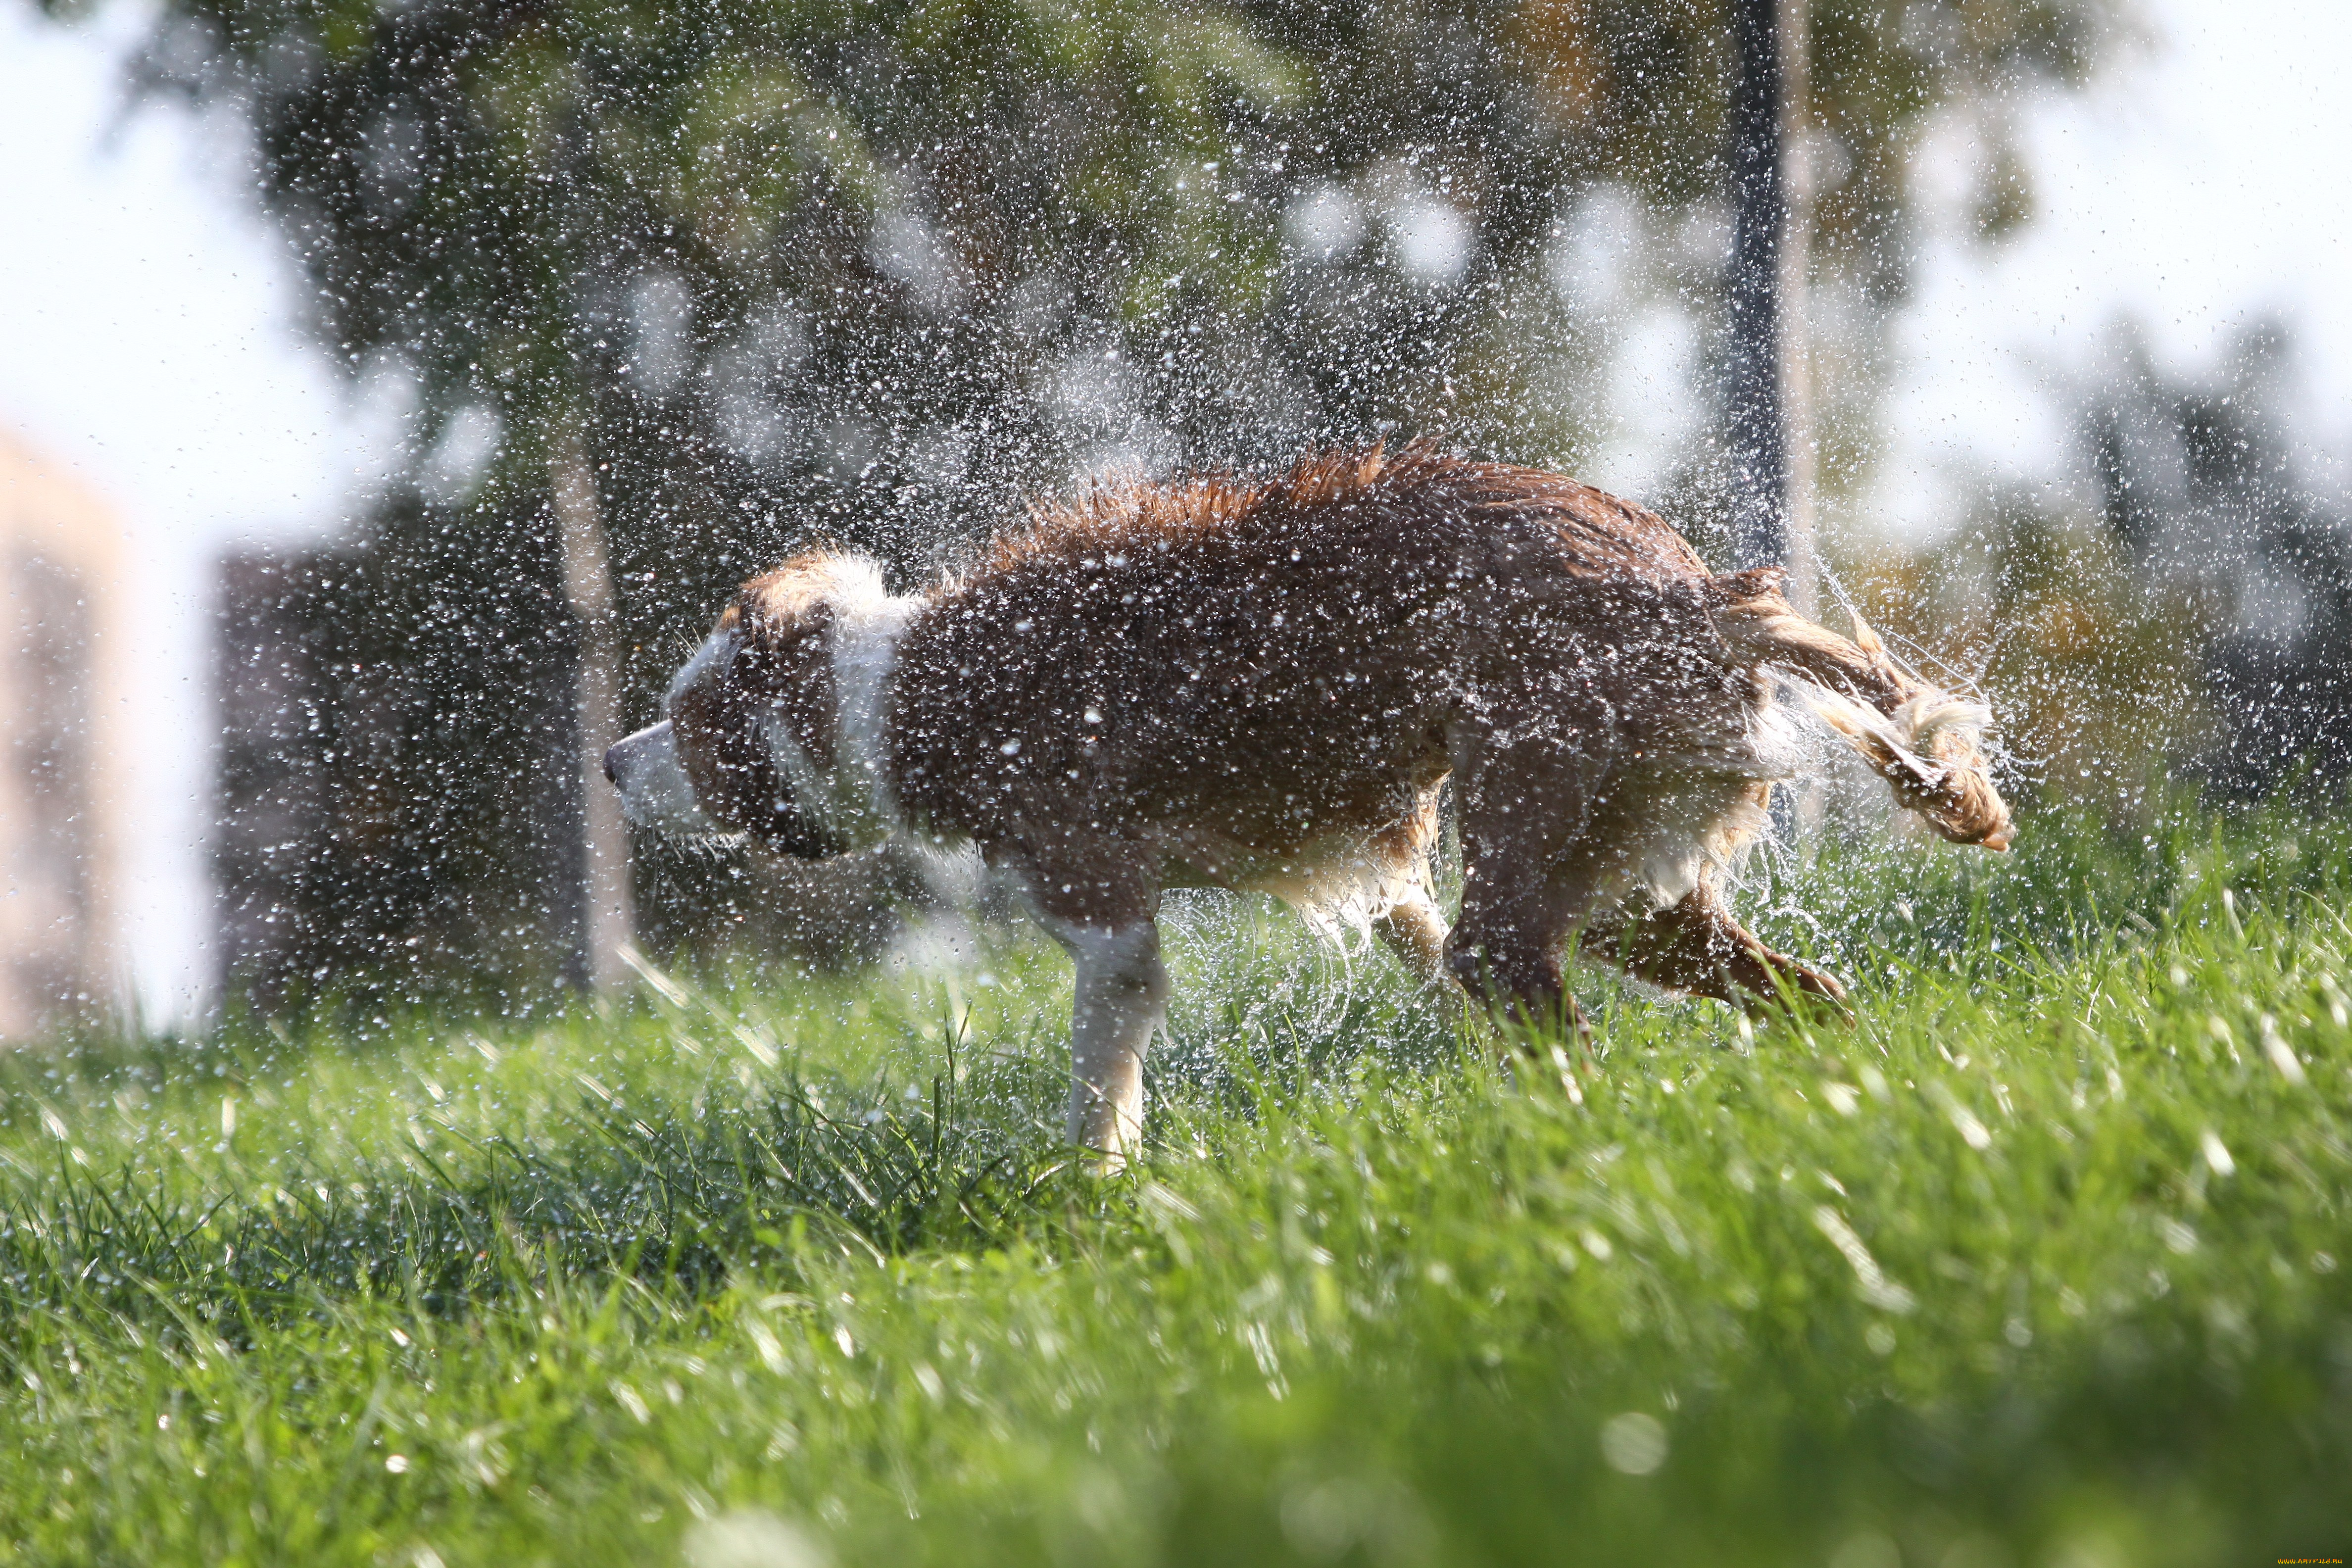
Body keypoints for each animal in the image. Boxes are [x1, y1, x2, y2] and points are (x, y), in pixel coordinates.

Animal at [602, 446, 2004, 1161]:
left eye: (683, 723)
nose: (611, 765)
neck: (902, 689)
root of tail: (1701, 590)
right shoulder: (1385, 880)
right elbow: (1415, 949)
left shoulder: (1107, 920)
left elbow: (1096, 1086)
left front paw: (1091, 1197)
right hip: (1629, 877)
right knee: (1803, 991)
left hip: (1547, 830)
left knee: (1548, 1009)